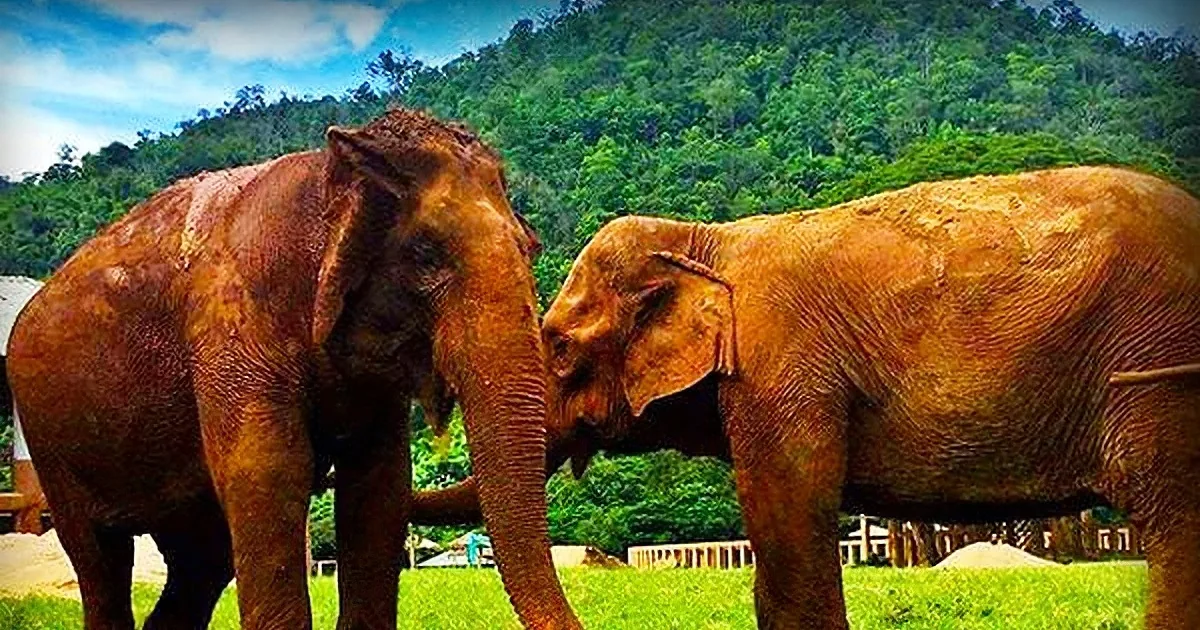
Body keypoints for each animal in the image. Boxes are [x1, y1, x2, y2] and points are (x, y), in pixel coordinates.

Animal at [6, 109, 581, 630]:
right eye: (426, 254)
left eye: (529, 247)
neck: (327, 175)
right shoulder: (231, 330)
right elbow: (270, 473)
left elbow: (380, 488)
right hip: (49, 441)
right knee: (100, 558)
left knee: (201, 562)